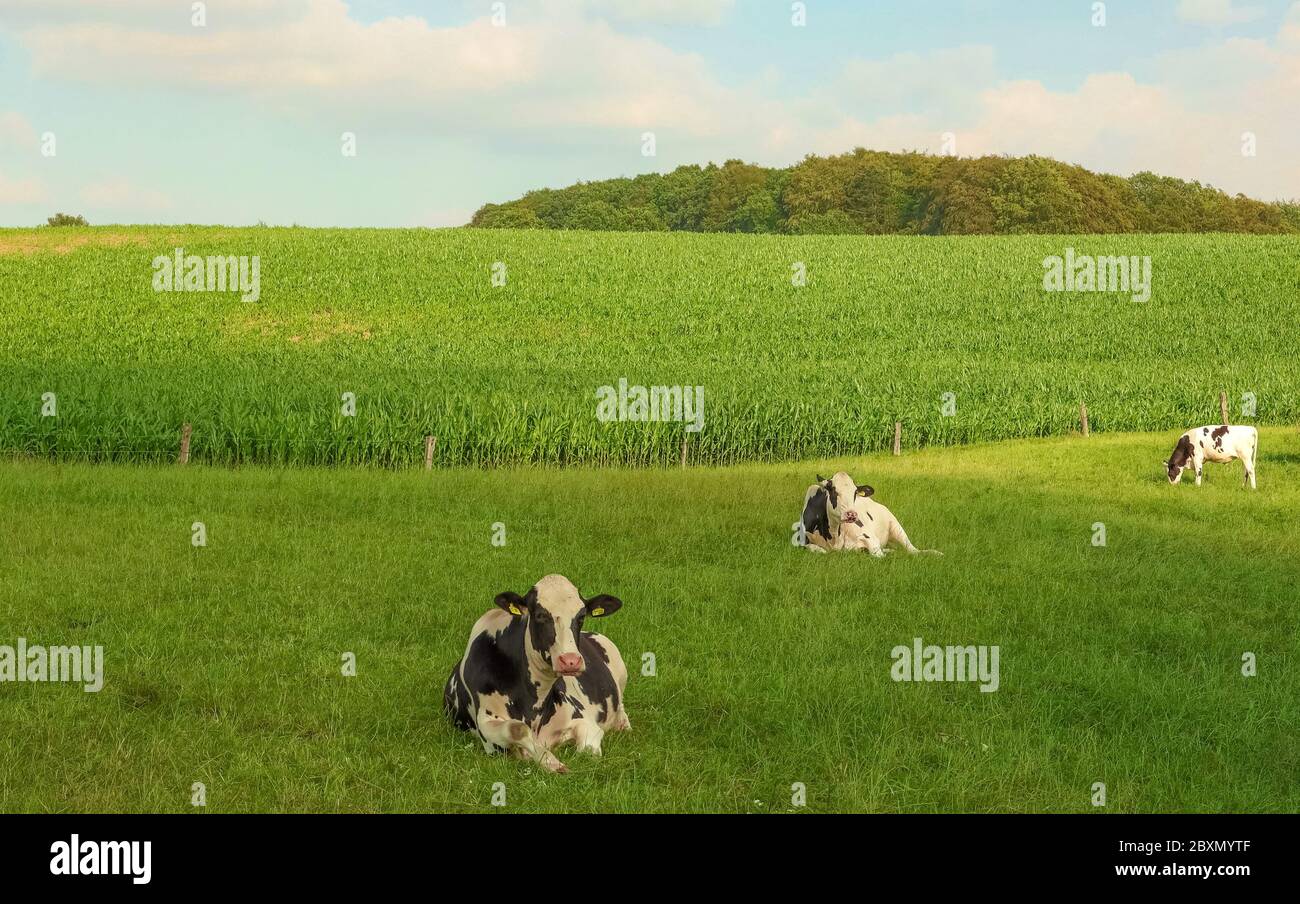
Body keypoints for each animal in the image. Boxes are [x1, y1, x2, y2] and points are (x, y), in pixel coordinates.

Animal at [444, 577, 631, 775]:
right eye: (540, 615)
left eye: (581, 616)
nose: (570, 661)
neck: (532, 703)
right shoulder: (487, 730)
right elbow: (517, 729)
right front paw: (550, 761)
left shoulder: (584, 720)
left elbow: (588, 751)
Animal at [795, 473, 941, 559]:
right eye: (833, 491)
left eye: (855, 493)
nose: (851, 514)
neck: (833, 535)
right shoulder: (800, 540)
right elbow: (817, 549)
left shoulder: (870, 537)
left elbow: (878, 554)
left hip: (896, 526)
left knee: (912, 549)